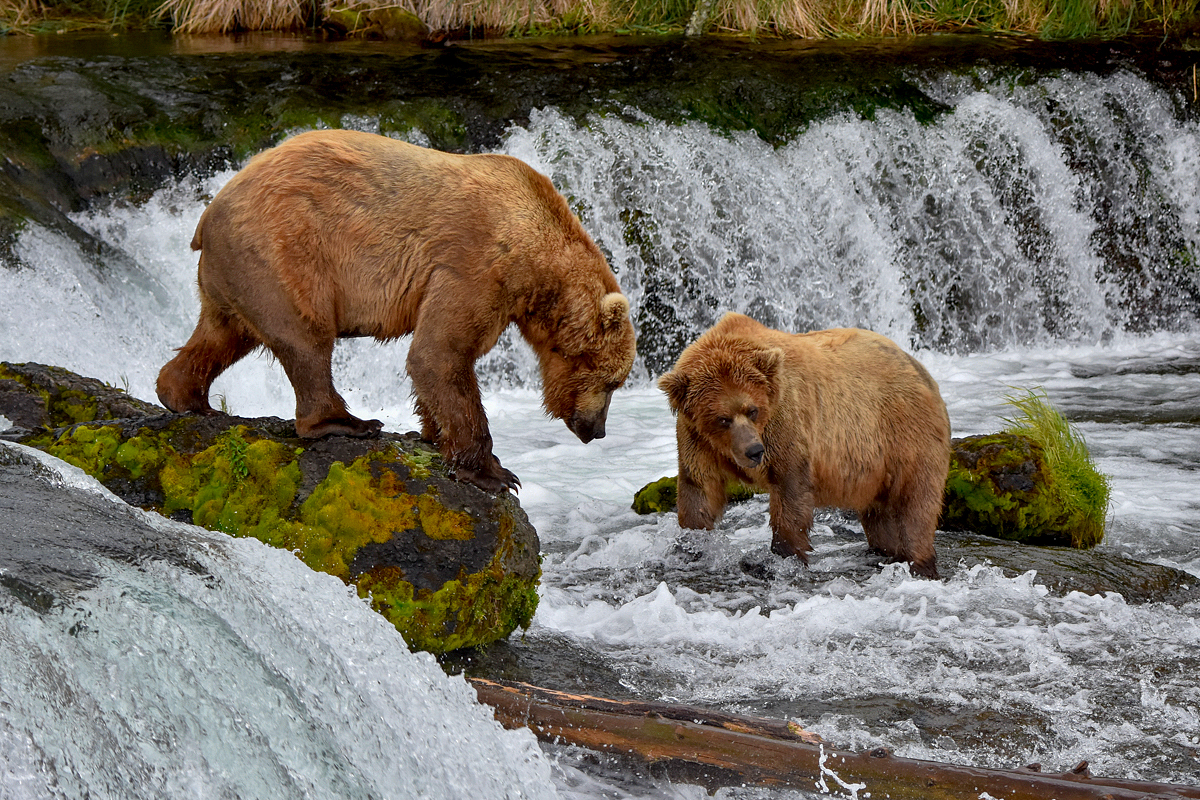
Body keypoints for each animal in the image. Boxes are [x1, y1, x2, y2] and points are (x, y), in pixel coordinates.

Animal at [657, 309, 945, 578]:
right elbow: (699, 489)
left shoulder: (786, 422)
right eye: (723, 419)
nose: (754, 451)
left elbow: (790, 490)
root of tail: (920, 368)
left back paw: (919, 562)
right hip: (873, 466)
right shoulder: (697, 439)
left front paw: (784, 557)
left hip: (903, 435)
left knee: (915, 504)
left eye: (753, 410)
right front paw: (691, 547)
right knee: (880, 516)